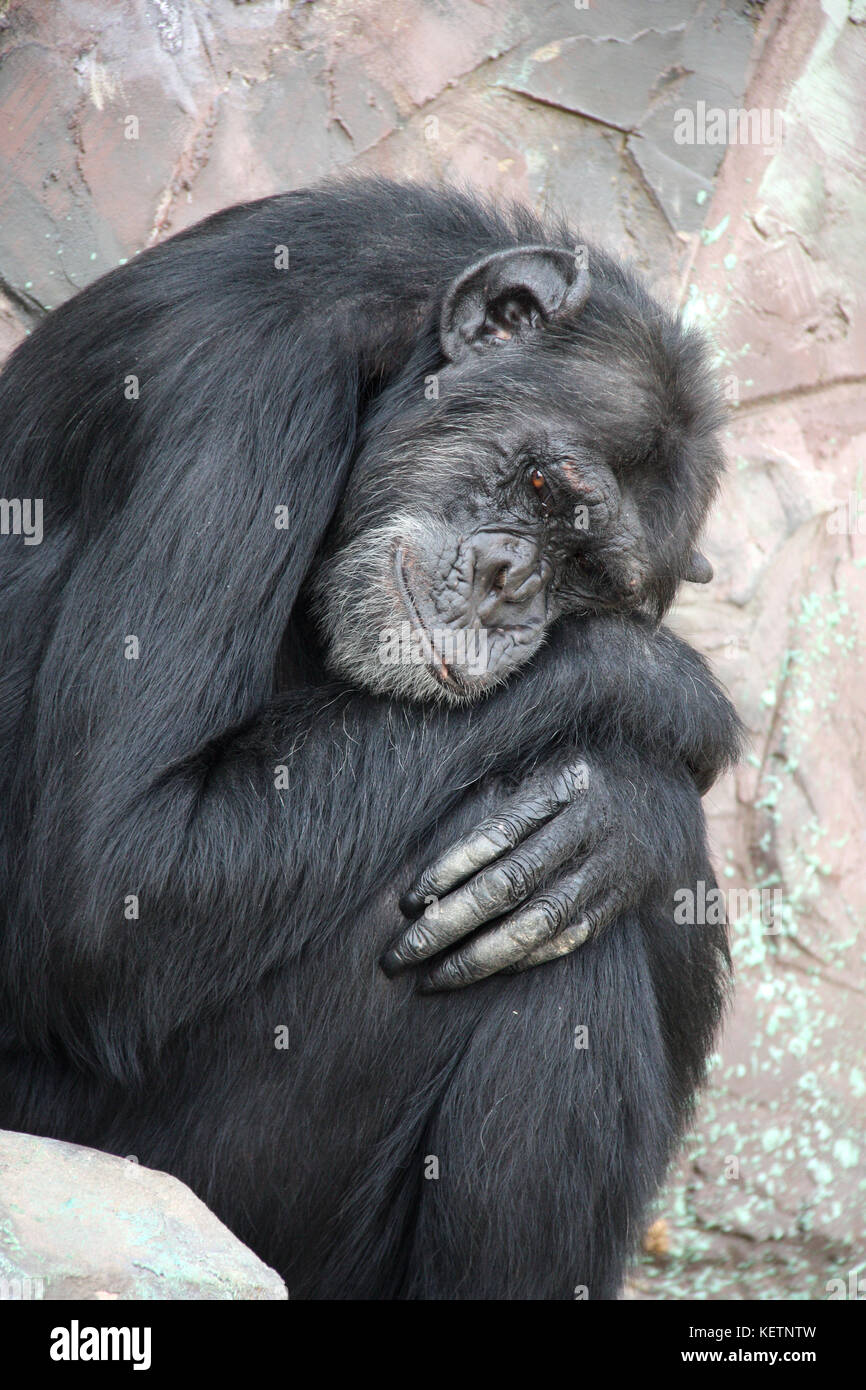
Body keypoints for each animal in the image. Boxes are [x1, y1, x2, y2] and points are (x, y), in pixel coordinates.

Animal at [0, 179, 739, 1295]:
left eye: (590, 576)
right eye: (541, 489)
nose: (512, 585)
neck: (383, 357)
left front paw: (622, 820)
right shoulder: (237, 396)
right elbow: (119, 874)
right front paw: (664, 704)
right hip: (164, 1171)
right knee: (564, 967)